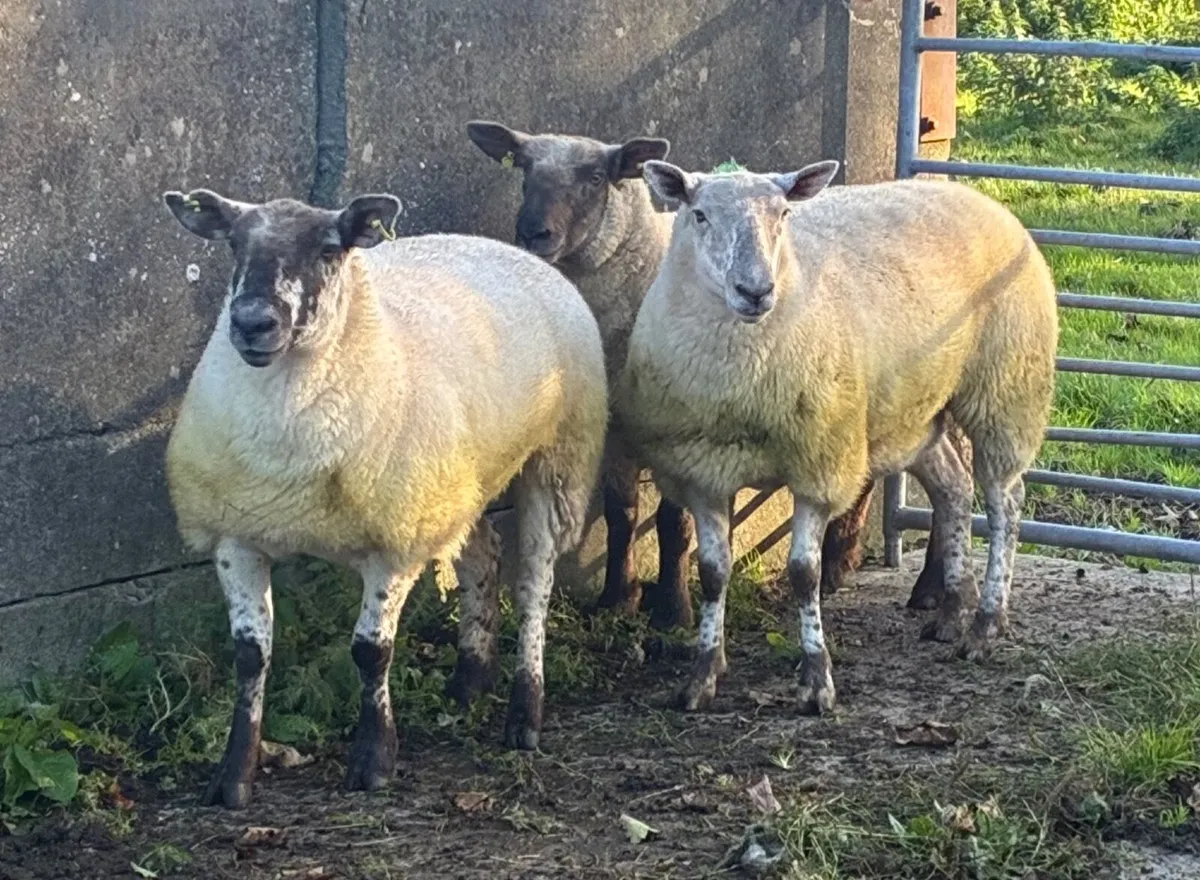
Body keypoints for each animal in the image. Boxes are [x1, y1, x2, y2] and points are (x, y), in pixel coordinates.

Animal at [161, 187, 607, 808]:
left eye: (330, 249)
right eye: (233, 244)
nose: (252, 324)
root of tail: (503, 245)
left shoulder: (395, 541)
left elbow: (370, 652)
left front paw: (374, 760)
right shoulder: (235, 537)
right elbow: (251, 656)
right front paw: (233, 776)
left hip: (558, 458)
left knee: (534, 585)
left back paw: (525, 715)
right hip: (458, 483)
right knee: (482, 556)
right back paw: (470, 680)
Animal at [464, 122, 947, 627]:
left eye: (595, 178)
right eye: (523, 170)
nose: (532, 233)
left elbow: (672, 523)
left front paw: (672, 609)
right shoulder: (618, 426)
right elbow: (621, 512)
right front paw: (617, 598)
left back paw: (924, 586)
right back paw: (844, 564)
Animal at [616, 159, 1058, 714]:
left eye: (784, 214)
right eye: (698, 215)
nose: (756, 291)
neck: (743, 382)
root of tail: (975, 196)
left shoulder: (819, 465)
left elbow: (804, 574)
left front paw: (816, 678)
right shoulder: (702, 470)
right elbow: (713, 574)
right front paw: (702, 675)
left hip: (1006, 385)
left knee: (1005, 502)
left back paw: (986, 623)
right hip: (912, 410)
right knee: (953, 487)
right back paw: (952, 611)